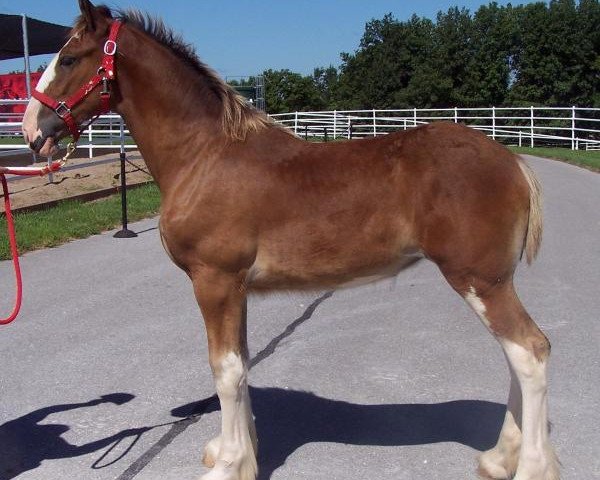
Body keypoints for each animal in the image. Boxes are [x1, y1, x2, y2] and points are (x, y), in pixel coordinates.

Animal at [21, 1, 560, 478]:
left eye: (68, 58)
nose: (30, 130)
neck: (205, 155)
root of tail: (513, 161)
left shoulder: (214, 281)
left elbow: (225, 370)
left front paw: (229, 466)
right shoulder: (233, 288)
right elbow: (239, 365)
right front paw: (236, 452)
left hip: (480, 280)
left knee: (530, 353)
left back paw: (529, 467)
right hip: (489, 283)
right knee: (516, 356)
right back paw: (499, 458)